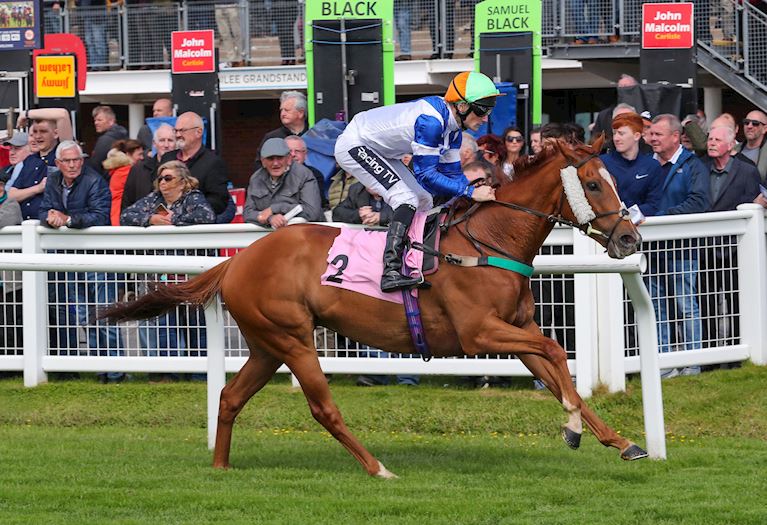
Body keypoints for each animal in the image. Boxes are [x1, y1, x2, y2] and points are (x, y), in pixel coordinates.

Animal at [103, 136, 648, 478]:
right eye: (594, 185)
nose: (629, 239)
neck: (487, 239)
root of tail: (237, 261)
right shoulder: (479, 332)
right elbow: (557, 356)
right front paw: (573, 429)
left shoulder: (516, 330)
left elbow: (557, 371)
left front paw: (622, 443)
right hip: (292, 339)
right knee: (322, 408)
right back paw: (377, 468)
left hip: (266, 345)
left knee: (230, 397)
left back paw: (220, 467)